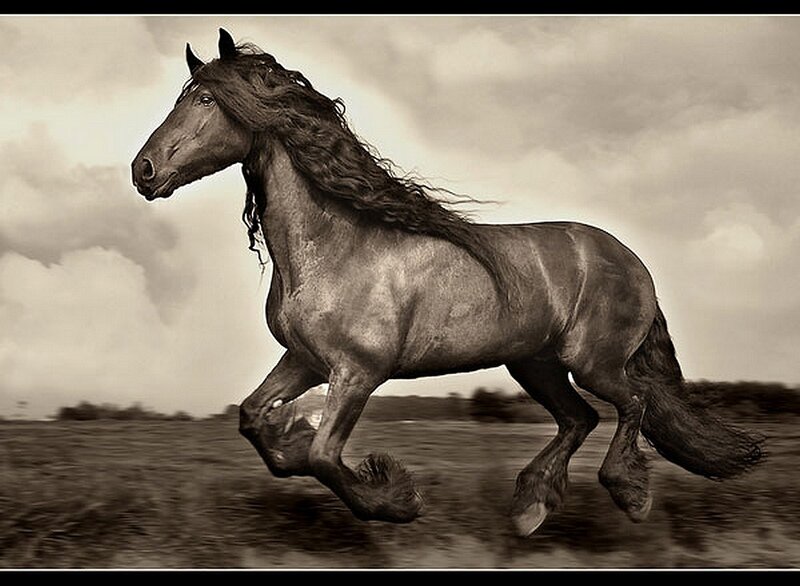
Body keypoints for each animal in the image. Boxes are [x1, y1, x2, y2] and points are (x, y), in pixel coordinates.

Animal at [131, 29, 763, 536]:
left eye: (205, 99)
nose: (143, 170)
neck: (331, 248)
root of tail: (632, 261)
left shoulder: (359, 372)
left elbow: (324, 457)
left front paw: (397, 500)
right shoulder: (305, 361)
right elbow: (255, 420)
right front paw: (290, 436)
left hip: (593, 362)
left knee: (632, 403)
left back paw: (629, 495)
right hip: (534, 363)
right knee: (579, 418)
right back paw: (531, 507)